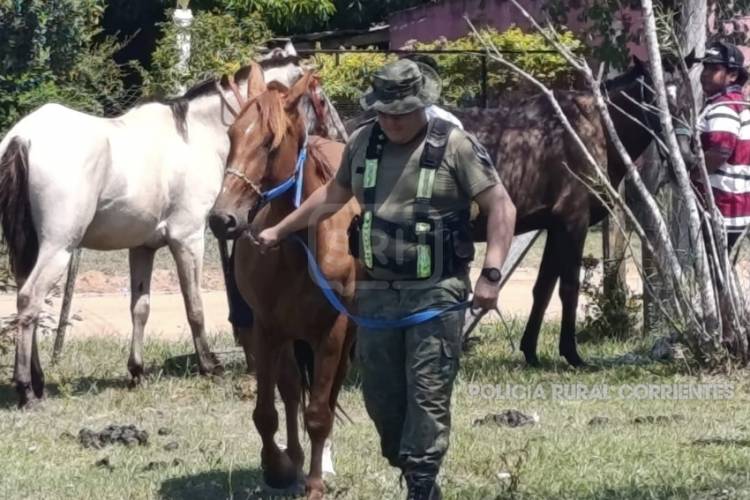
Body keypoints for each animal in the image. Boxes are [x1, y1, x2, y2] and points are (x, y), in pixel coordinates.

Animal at [0, 48, 345, 408]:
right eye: (320, 97)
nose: (340, 137)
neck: (197, 136)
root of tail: (23, 137)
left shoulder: (143, 247)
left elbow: (140, 308)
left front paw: (136, 371)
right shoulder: (188, 239)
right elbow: (194, 306)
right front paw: (209, 365)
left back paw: (37, 380)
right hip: (59, 248)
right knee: (29, 300)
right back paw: (26, 389)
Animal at [208, 63, 358, 500]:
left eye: (270, 143)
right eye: (231, 136)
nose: (222, 219)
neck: (296, 245)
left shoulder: (334, 332)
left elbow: (320, 412)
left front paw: (314, 482)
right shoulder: (266, 328)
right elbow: (266, 412)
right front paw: (277, 467)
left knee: (326, 396)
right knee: (291, 391)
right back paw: (293, 456)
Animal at [345, 57, 687, 367]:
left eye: (682, 96)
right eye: (651, 97)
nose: (681, 149)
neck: (590, 129)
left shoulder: (555, 225)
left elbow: (544, 288)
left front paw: (531, 351)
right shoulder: (573, 221)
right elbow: (569, 288)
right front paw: (572, 354)